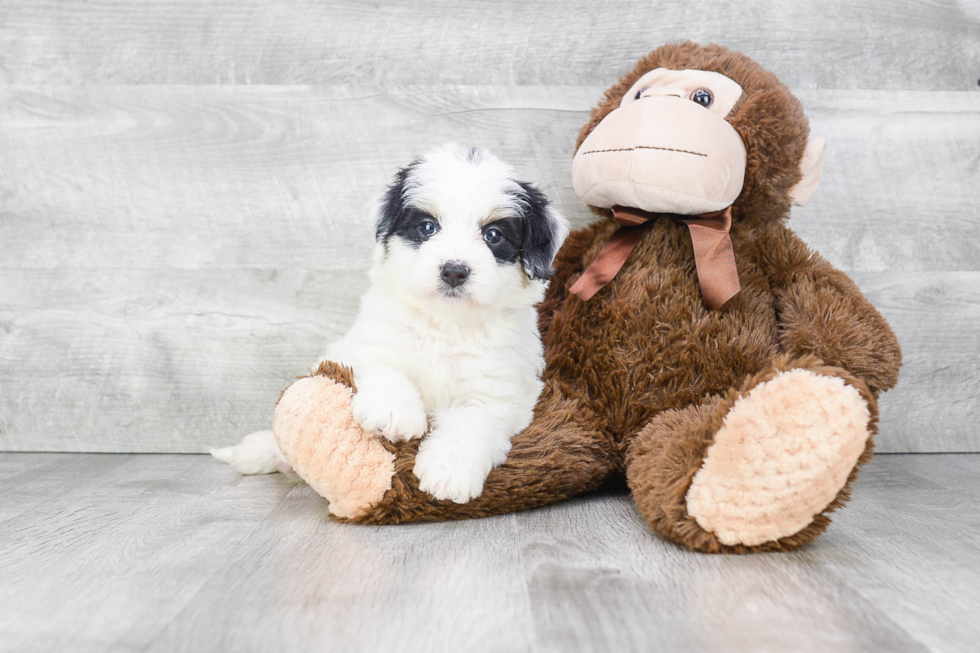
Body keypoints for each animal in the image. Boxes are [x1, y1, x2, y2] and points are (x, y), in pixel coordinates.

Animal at [211, 140, 572, 502]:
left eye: (494, 235)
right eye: (427, 227)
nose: (454, 270)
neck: (445, 324)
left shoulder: (499, 390)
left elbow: (473, 420)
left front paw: (447, 472)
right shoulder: (369, 344)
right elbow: (386, 369)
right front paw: (394, 412)